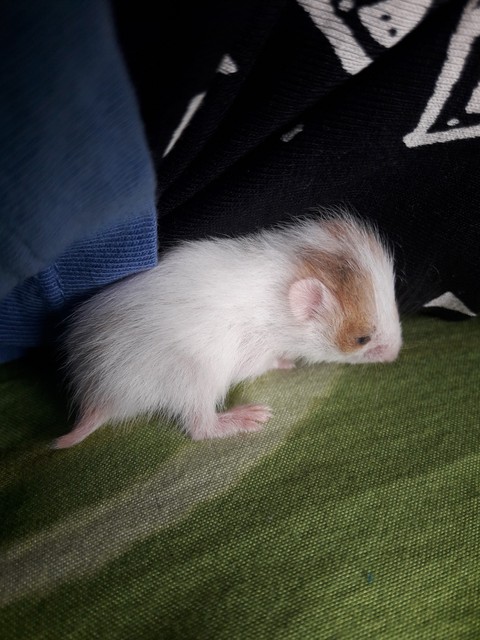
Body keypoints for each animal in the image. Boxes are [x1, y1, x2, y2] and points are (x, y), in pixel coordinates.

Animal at [53, 213, 402, 448]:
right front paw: (286, 362)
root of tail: (100, 398)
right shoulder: (254, 350)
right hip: (193, 377)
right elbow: (264, 363)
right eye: (361, 339)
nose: (396, 355)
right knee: (200, 428)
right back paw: (242, 417)